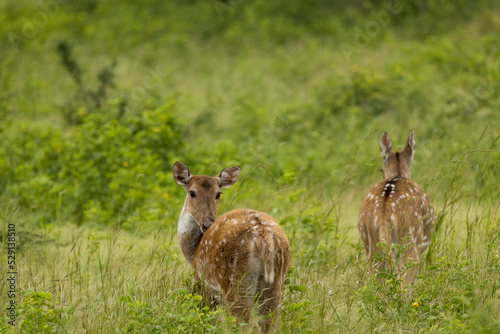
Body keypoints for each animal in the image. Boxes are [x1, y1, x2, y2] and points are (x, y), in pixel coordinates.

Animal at [172, 162, 292, 332]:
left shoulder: (202, 285)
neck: (193, 252)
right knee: (269, 325)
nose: (207, 224)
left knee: (248, 325)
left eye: (218, 194)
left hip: (234, 281)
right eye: (192, 192)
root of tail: (264, 236)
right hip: (276, 280)